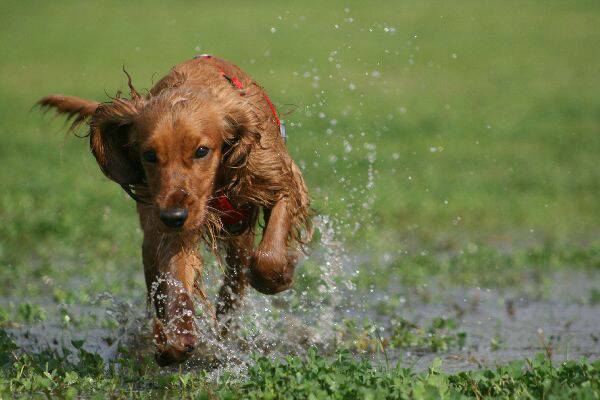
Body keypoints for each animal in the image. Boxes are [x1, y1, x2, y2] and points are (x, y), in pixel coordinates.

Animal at [37, 56, 312, 366]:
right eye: (149, 155)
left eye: (202, 151)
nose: (173, 217)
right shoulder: (173, 228)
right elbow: (177, 278)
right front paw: (178, 337)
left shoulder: (277, 177)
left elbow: (267, 255)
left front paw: (281, 276)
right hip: (152, 240)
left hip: (236, 241)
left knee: (235, 283)